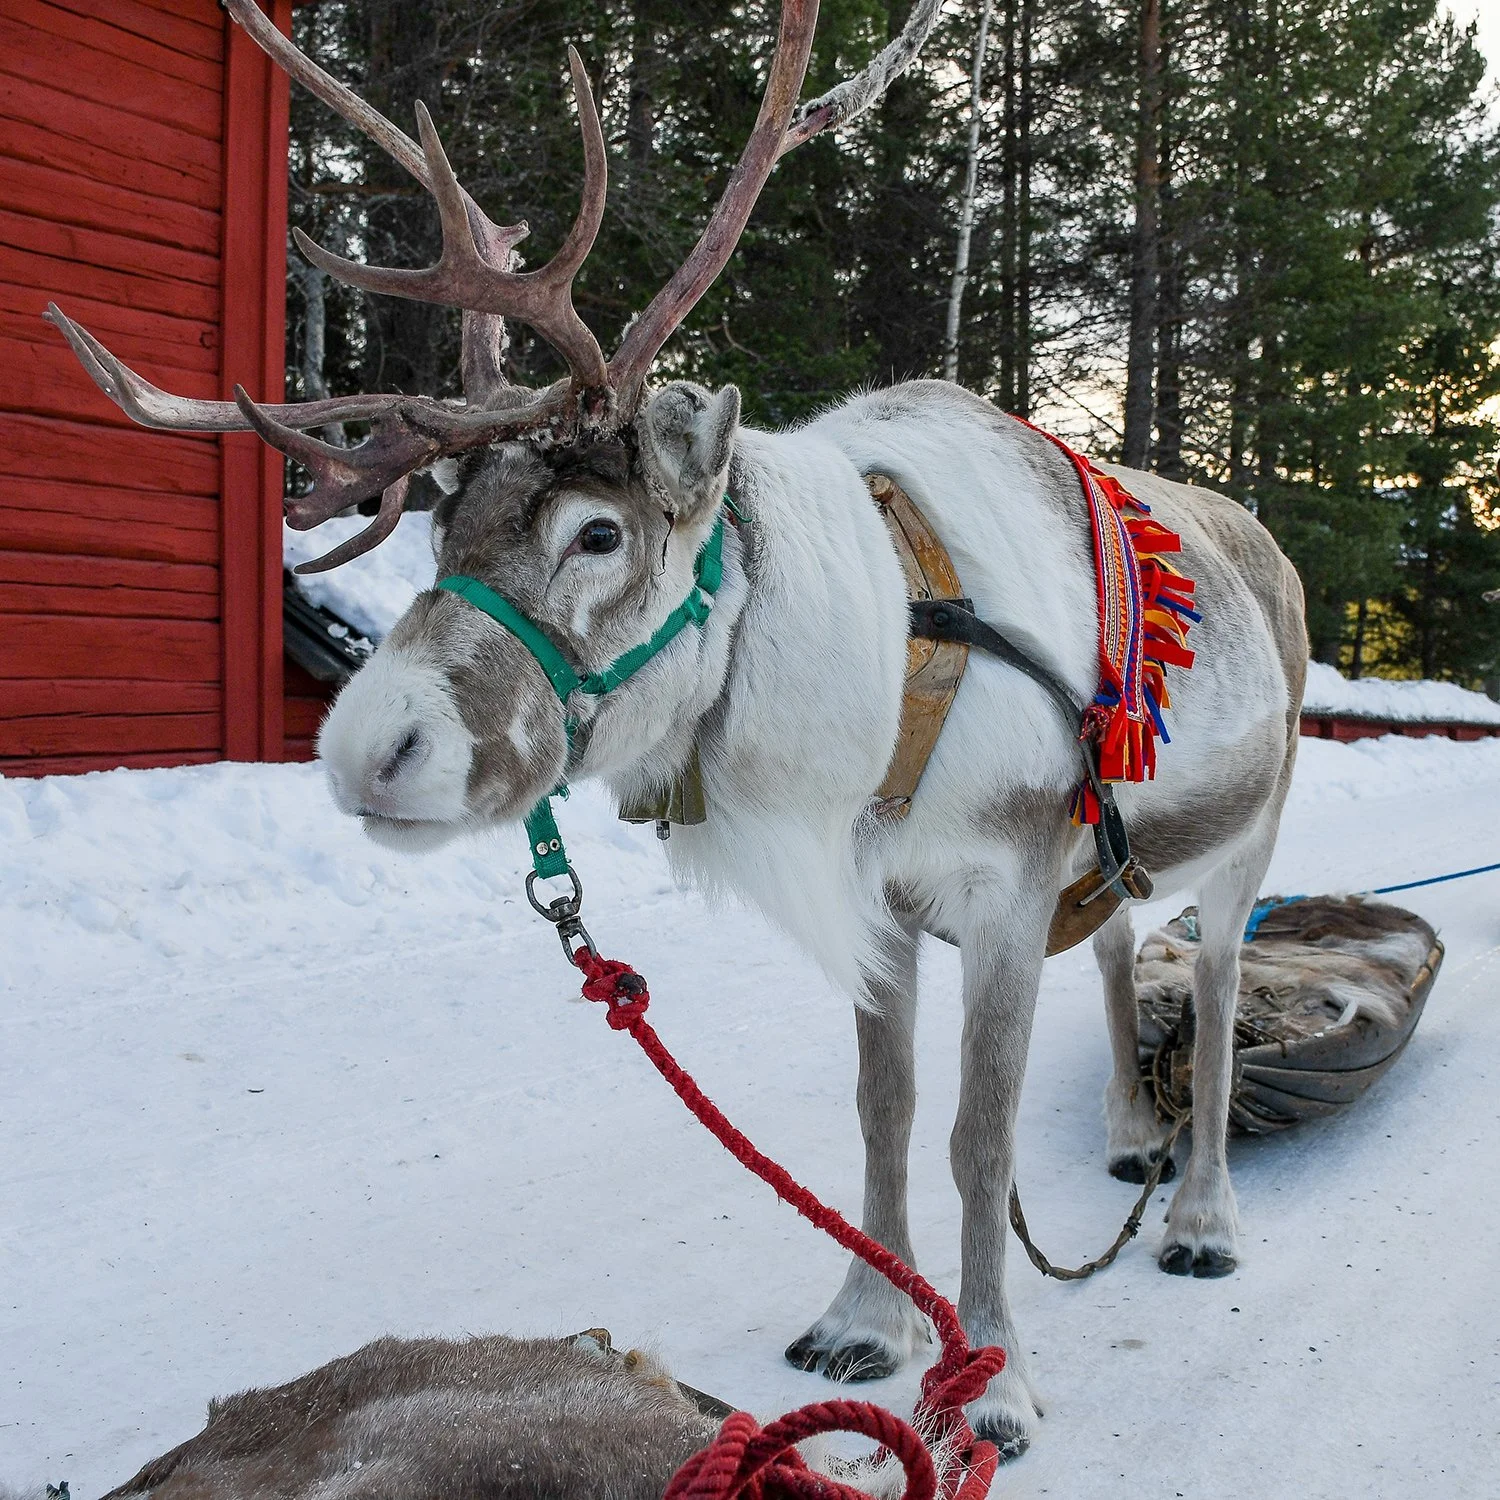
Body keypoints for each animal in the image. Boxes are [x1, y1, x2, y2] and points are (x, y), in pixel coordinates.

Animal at [48, 0, 1306, 1461]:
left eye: (599, 534)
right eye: (444, 524)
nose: (370, 750)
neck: (883, 665)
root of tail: (1265, 544)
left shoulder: (1000, 889)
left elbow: (976, 1142)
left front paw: (991, 1379)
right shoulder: (885, 903)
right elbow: (883, 1115)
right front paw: (865, 1324)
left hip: (1252, 834)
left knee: (1214, 991)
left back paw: (1203, 1215)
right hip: (1110, 857)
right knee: (1115, 947)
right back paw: (1126, 1136)